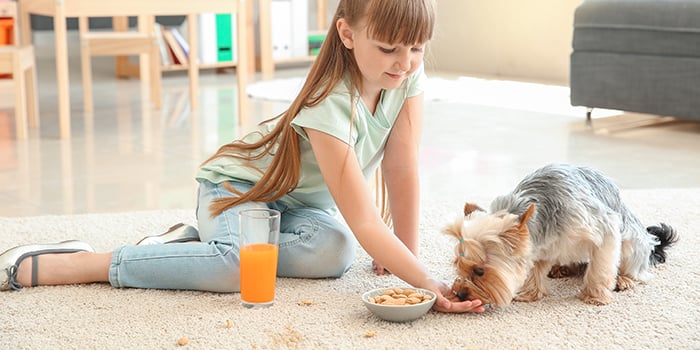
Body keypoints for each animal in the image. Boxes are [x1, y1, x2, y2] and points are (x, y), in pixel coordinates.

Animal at [442, 164, 680, 306]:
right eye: (458, 265)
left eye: (480, 271)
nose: (461, 294)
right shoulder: (540, 245)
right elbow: (534, 269)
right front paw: (530, 293)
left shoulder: (605, 229)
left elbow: (601, 268)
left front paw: (595, 296)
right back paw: (561, 268)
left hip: (632, 242)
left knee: (634, 267)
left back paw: (624, 279)